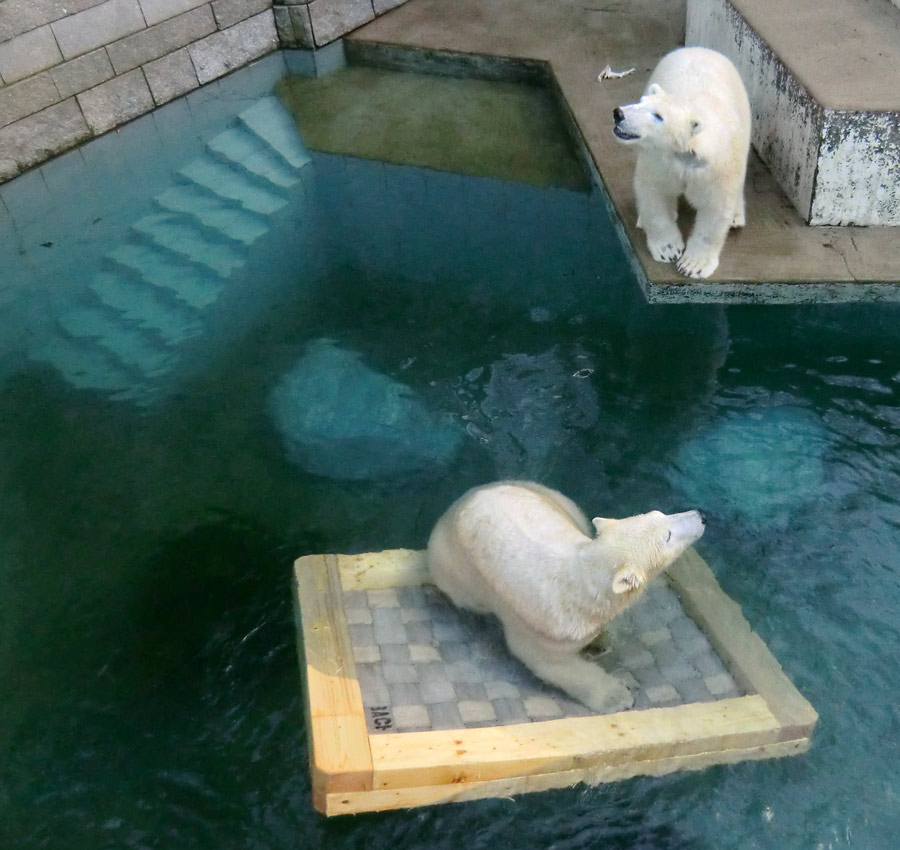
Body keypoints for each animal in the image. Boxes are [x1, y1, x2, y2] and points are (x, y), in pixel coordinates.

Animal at [426, 480, 708, 712]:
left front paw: (601, 640)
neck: (581, 580)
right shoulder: (547, 627)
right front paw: (617, 696)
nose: (702, 515)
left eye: (661, 513)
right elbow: (552, 664)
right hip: (454, 569)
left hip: (546, 495)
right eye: (668, 536)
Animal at [612, 47, 752, 278]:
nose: (619, 113)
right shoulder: (659, 161)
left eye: (658, 116)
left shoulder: (718, 169)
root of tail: (701, 49)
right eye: (641, 102)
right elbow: (654, 195)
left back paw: (736, 216)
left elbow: (715, 210)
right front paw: (668, 250)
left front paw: (693, 265)